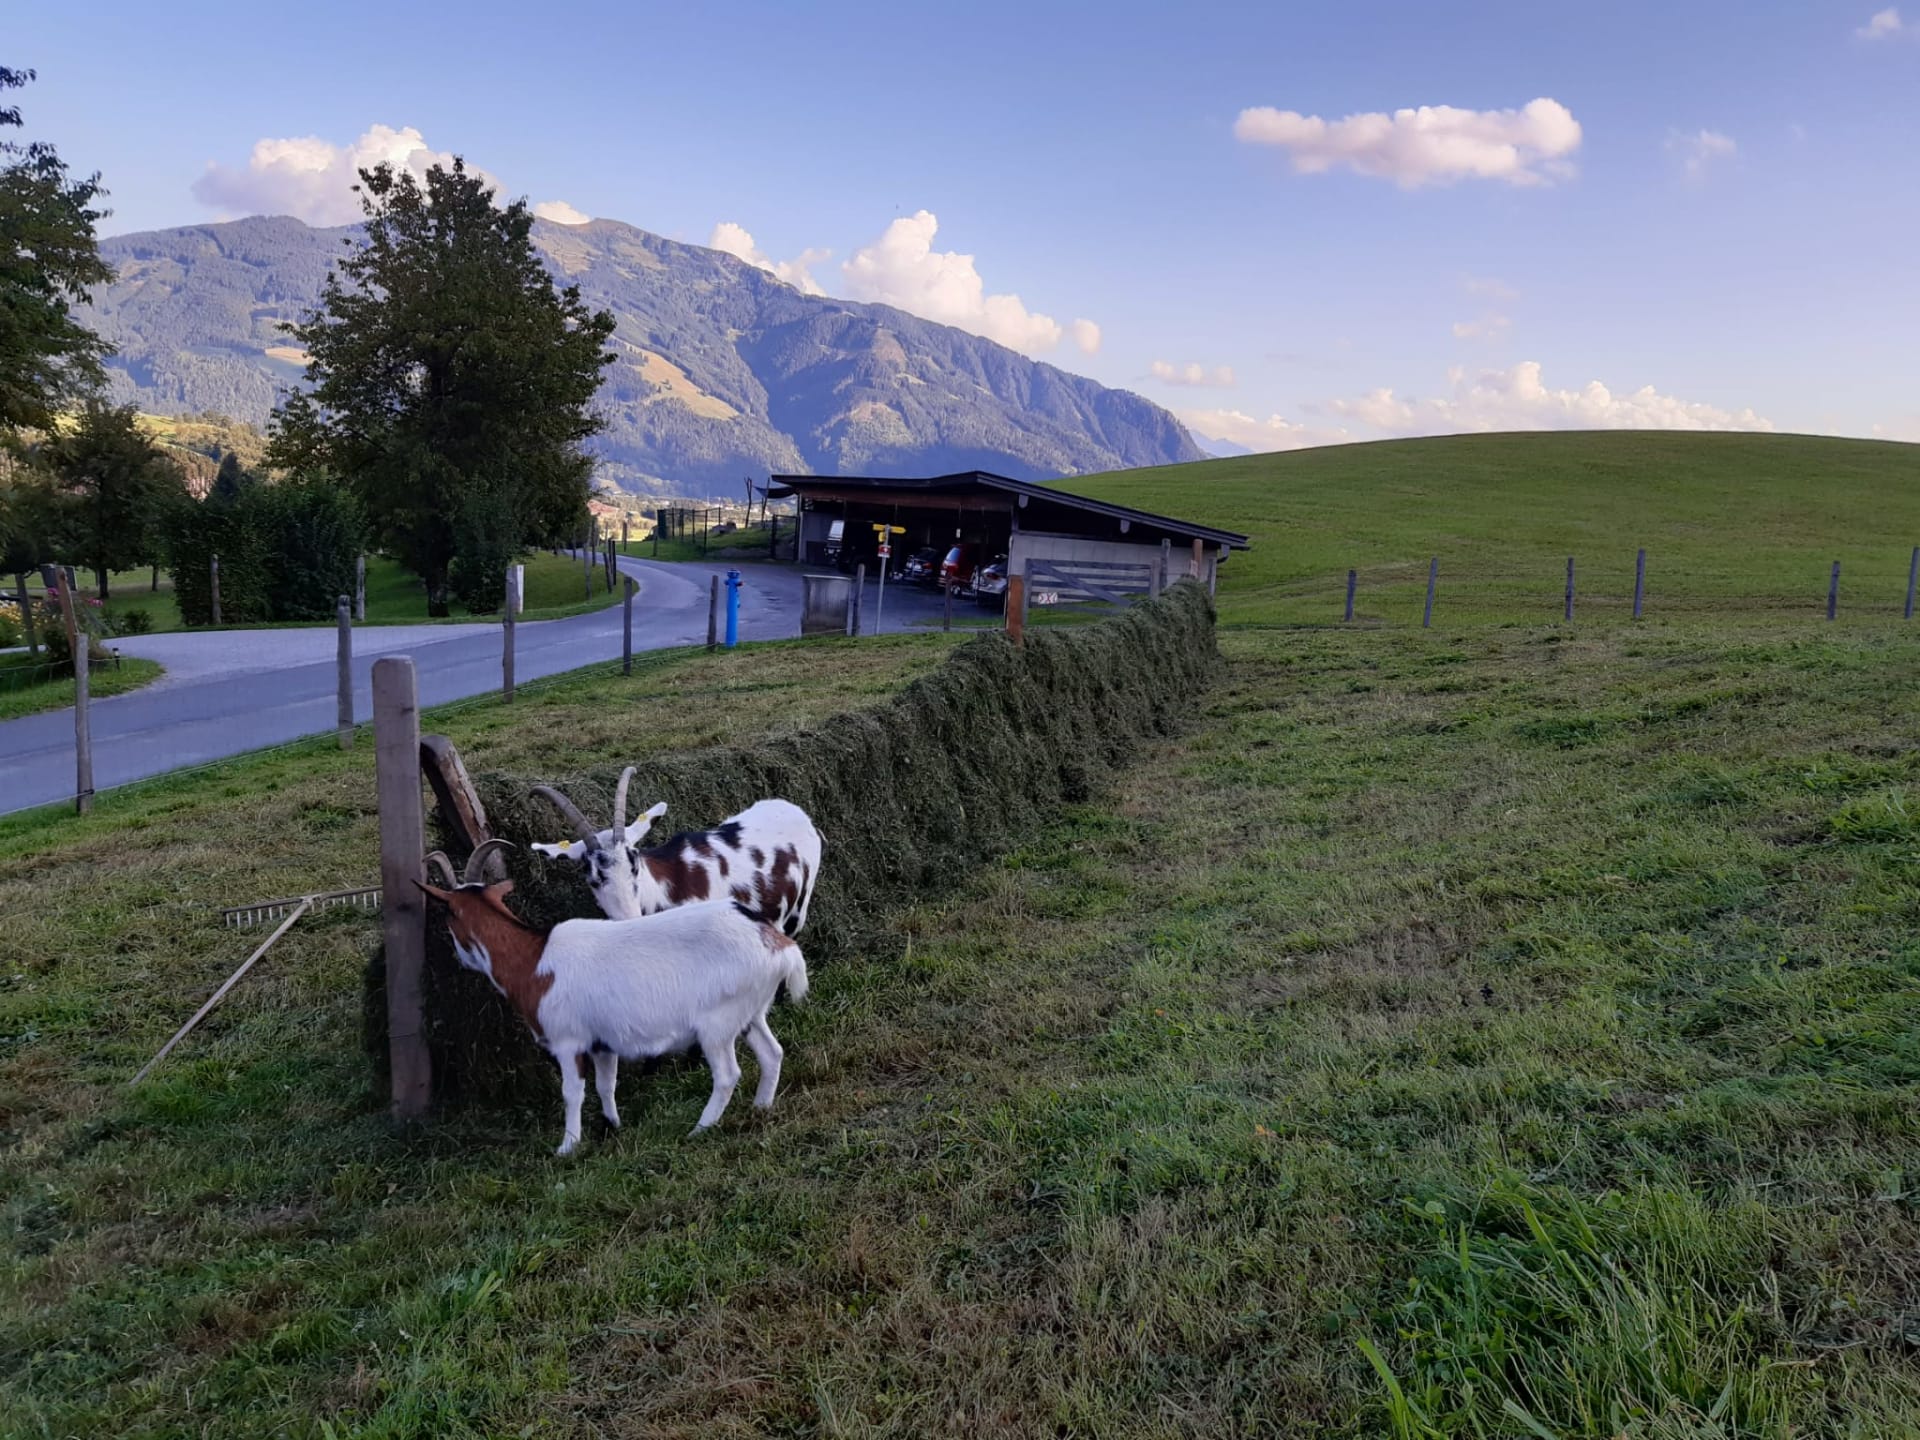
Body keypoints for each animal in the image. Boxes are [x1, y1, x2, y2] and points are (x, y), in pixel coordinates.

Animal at [421, 840, 809, 1156]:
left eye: (448, 914)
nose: (461, 959)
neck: (532, 959)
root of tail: (777, 943)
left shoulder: (568, 1041)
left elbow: (572, 1092)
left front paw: (567, 1147)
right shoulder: (603, 1044)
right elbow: (606, 1085)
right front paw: (612, 1126)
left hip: (718, 1023)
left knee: (728, 1074)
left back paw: (700, 1129)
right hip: (750, 1012)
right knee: (772, 1052)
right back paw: (761, 1107)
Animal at [528, 768, 821, 936]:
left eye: (635, 867)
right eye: (593, 879)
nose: (630, 920)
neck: (662, 889)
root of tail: (796, 811)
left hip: (799, 905)